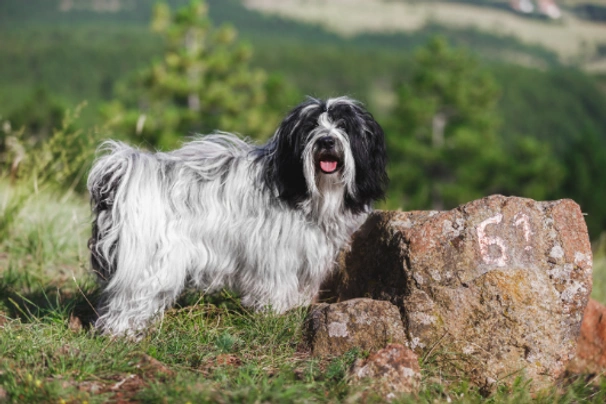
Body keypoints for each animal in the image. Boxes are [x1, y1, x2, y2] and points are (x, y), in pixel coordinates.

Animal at [88, 96, 388, 336]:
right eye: (311, 127)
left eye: (344, 126)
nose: (327, 140)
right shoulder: (274, 254)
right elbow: (276, 286)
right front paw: (276, 314)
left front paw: (297, 309)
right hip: (150, 262)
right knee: (129, 299)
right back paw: (121, 333)